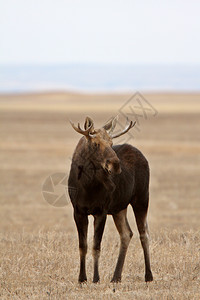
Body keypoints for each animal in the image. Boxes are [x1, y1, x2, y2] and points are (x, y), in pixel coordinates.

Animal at [67, 116, 153, 282]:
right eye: (95, 144)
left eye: (111, 143)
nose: (115, 165)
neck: (87, 186)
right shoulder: (78, 211)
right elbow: (83, 246)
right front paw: (82, 278)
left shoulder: (101, 211)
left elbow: (96, 247)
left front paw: (96, 278)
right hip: (119, 208)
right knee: (127, 234)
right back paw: (116, 277)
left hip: (141, 198)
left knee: (144, 233)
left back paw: (148, 276)